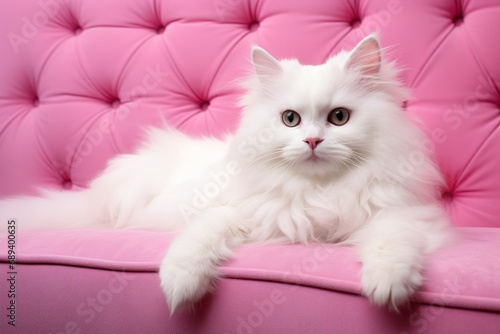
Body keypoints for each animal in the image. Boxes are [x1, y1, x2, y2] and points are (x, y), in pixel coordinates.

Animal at [0, 35, 454, 314]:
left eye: (339, 118)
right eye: (290, 119)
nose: (312, 141)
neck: (318, 191)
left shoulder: (402, 215)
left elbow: (391, 245)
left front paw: (387, 287)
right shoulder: (237, 211)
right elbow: (199, 236)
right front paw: (180, 285)